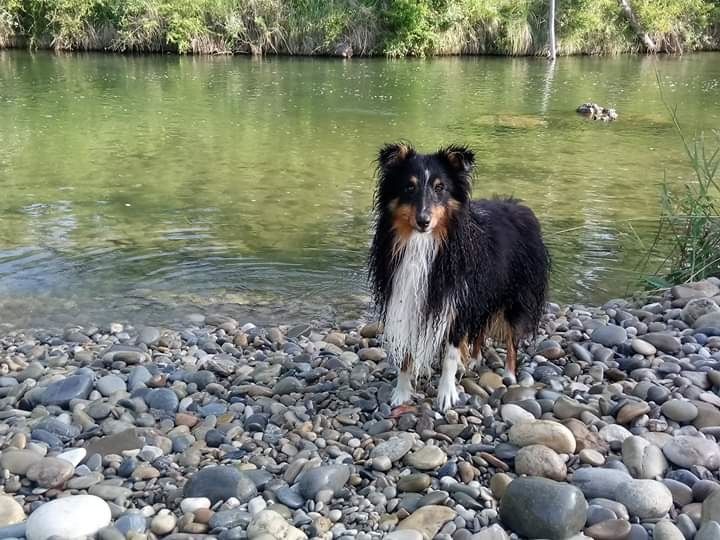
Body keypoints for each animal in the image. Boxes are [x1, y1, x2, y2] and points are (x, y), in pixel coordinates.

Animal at [368, 141, 548, 412]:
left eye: (440, 187)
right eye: (409, 186)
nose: (423, 221)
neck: (425, 244)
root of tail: (517, 205)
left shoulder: (456, 299)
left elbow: (450, 354)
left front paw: (446, 394)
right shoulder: (406, 298)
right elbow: (407, 354)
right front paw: (402, 392)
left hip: (512, 296)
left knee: (511, 338)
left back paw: (509, 374)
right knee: (480, 327)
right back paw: (474, 359)